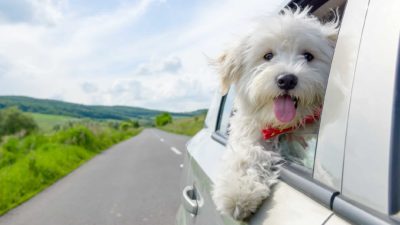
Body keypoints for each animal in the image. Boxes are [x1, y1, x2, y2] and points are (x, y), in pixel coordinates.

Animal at [211, 6, 340, 220]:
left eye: (308, 56)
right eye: (268, 56)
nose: (287, 79)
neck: (285, 127)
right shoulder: (249, 131)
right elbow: (247, 152)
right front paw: (238, 191)